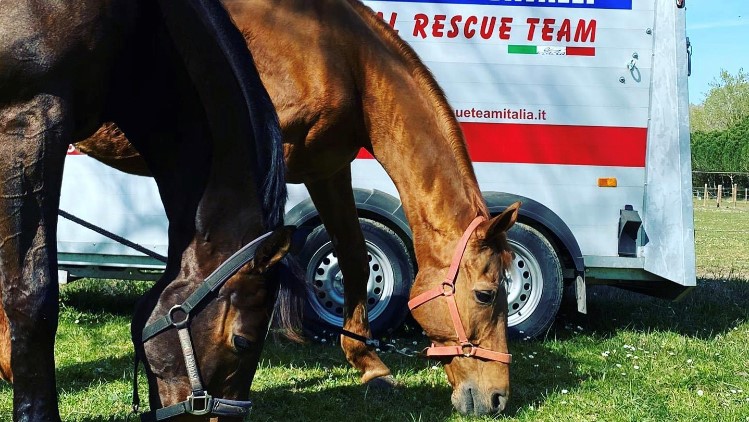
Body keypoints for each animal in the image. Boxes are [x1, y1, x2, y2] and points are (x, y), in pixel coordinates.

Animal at [76, 0, 521, 416]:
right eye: (486, 295)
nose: (497, 397)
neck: (343, 57)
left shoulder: (328, 170)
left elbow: (354, 260)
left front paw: (371, 366)